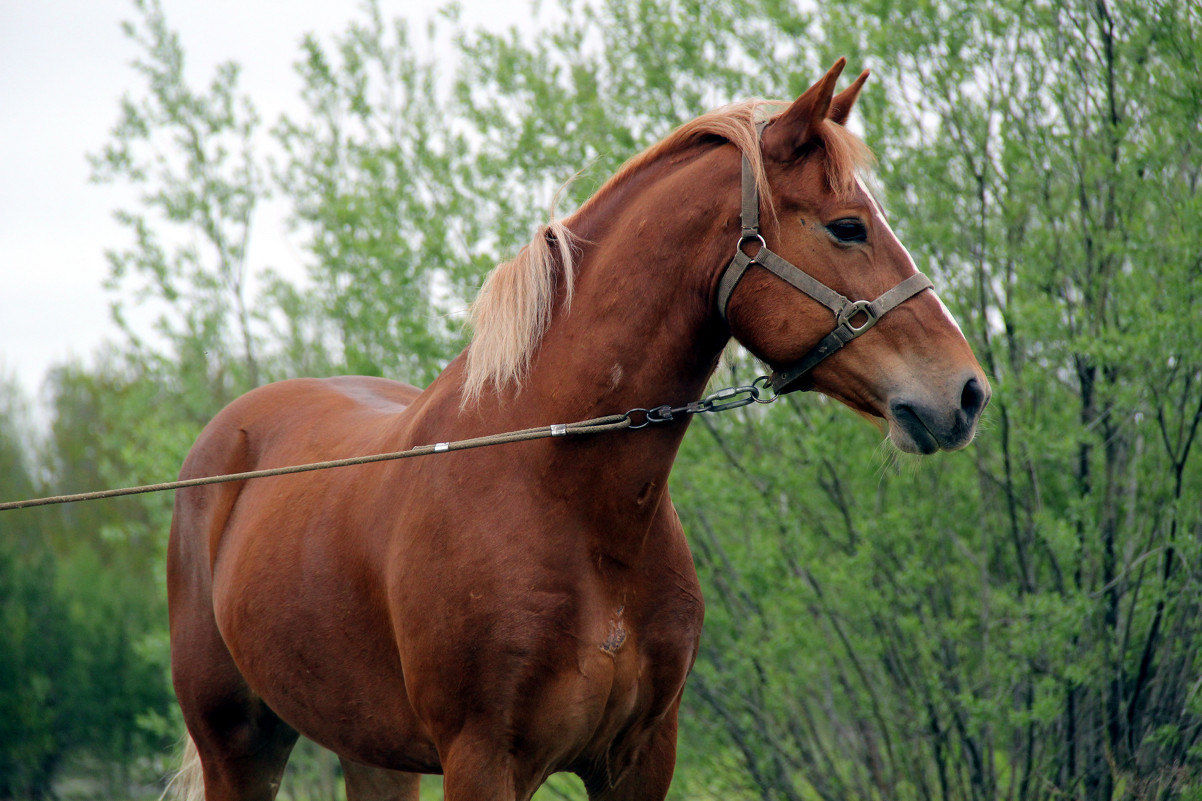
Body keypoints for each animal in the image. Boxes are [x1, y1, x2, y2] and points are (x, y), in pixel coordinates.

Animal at [164, 57, 990, 798]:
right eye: (849, 227)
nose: (966, 392)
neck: (556, 487)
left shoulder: (639, 759)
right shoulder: (484, 760)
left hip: (372, 751)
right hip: (239, 745)